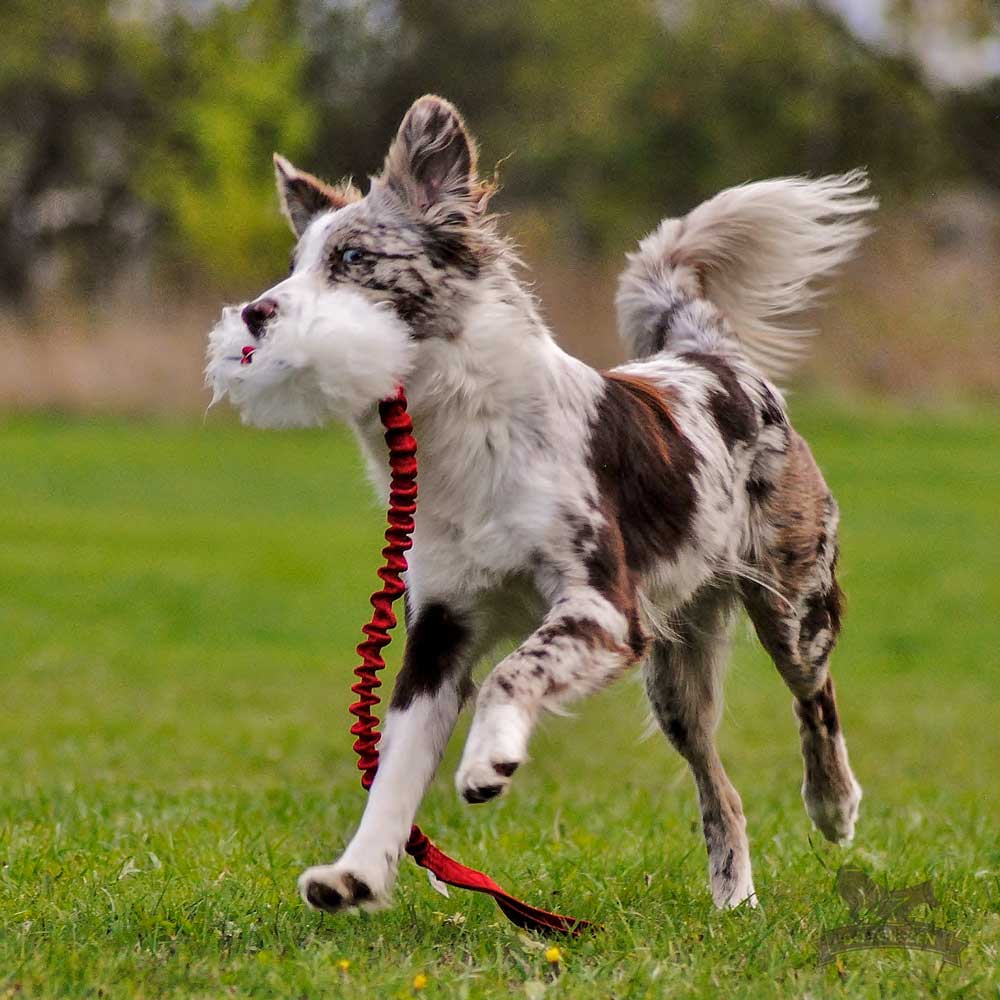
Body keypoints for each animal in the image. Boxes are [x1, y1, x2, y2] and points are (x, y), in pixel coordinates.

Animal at [205, 94, 876, 916]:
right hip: (674, 681)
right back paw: (735, 902)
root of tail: (707, 353)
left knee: (815, 697)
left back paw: (833, 806)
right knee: (722, 790)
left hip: (791, 609)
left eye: (353, 260)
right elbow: (393, 772)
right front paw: (356, 874)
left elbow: (511, 671)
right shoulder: (440, 630)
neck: (464, 436)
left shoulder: (604, 609)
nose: (254, 316)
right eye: (296, 263)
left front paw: (487, 760)